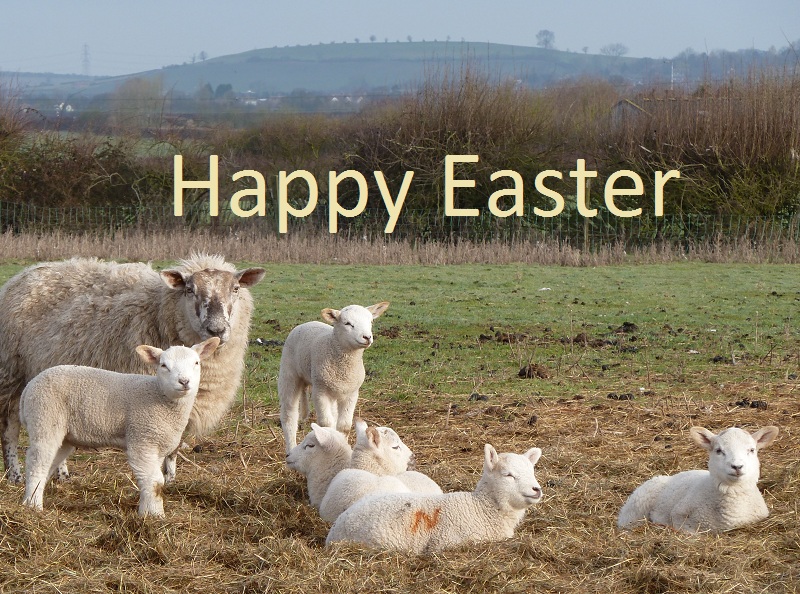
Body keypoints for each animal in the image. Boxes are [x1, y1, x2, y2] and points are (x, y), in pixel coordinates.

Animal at [0, 253, 265, 484]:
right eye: (190, 290)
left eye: (236, 289)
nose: (216, 330)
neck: (158, 311)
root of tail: (23, 275)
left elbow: (174, 446)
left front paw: (171, 478)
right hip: (10, 373)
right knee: (9, 427)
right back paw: (14, 475)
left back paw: (61, 475)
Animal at [20, 338, 219, 516]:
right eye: (163, 365)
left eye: (196, 362)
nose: (184, 381)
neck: (160, 396)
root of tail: (29, 387)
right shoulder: (142, 439)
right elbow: (155, 481)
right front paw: (156, 516)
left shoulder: (156, 445)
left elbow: (153, 481)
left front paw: (146, 513)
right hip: (44, 418)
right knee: (36, 463)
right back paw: (33, 506)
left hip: (63, 435)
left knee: (49, 463)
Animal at [278, 301, 389, 454]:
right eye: (347, 323)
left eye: (371, 321)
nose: (367, 337)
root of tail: (305, 323)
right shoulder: (320, 392)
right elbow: (326, 425)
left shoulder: (351, 393)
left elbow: (344, 426)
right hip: (289, 374)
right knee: (289, 415)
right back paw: (290, 449)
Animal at [326, 444, 543, 553]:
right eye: (508, 475)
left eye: (532, 471)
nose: (537, 489)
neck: (482, 508)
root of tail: (335, 528)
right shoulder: (446, 543)